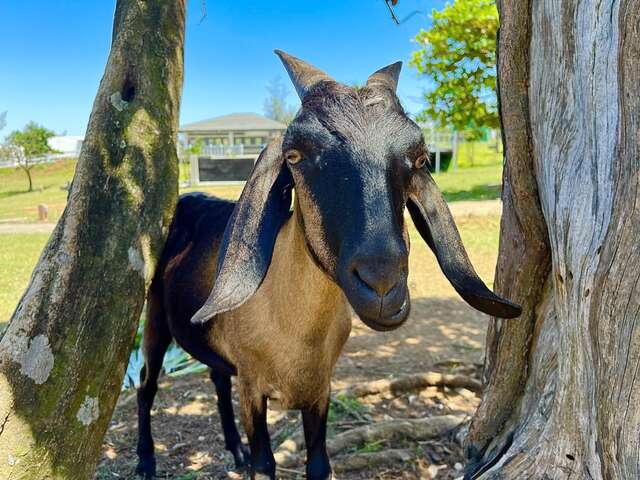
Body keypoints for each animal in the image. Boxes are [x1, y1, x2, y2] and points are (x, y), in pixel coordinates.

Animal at [135, 50, 520, 478]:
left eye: (420, 158)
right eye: (294, 156)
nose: (382, 284)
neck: (293, 330)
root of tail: (187, 199)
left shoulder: (321, 388)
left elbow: (319, 463)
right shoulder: (252, 385)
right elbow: (264, 464)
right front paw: (247, 457)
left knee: (216, 378)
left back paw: (233, 449)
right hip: (155, 318)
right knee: (146, 384)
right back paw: (146, 460)